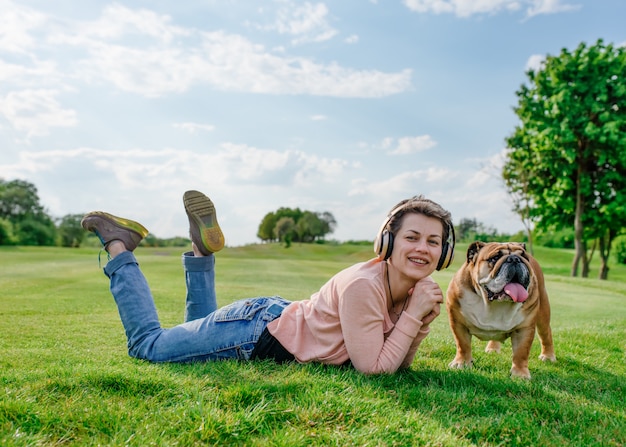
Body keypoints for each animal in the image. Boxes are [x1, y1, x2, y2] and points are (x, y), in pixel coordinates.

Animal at [446, 243, 552, 380]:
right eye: (495, 258)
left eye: (524, 256)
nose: (515, 259)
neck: (491, 303)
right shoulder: (458, 323)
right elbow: (463, 345)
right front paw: (462, 363)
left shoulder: (524, 329)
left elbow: (521, 353)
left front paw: (520, 374)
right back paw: (493, 348)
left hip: (543, 314)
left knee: (546, 334)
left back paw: (548, 356)